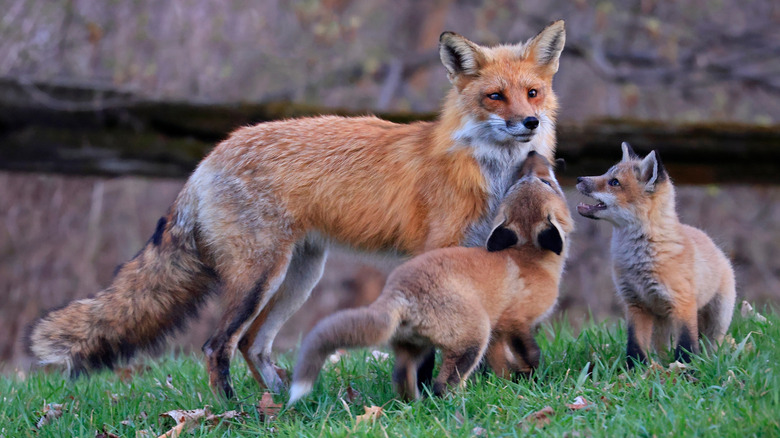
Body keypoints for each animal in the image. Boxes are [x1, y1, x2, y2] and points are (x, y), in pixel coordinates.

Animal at [287, 151, 573, 405]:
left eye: (523, 180)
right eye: (547, 183)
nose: (533, 154)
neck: (529, 258)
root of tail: (397, 291)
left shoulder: (498, 332)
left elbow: (501, 362)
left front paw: (511, 381)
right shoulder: (515, 322)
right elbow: (530, 354)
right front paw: (532, 379)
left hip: (415, 346)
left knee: (401, 378)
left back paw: (412, 405)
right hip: (473, 338)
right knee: (442, 385)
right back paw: (460, 404)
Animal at [576, 143, 736, 367]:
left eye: (614, 182)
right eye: (606, 173)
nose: (578, 179)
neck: (639, 260)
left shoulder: (683, 303)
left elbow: (686, 344)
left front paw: (686, 369)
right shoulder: (635, 304)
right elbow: (634, 344)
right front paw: (635, 369)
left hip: (718, 317)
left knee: (712, 344)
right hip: (661, 321)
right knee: (662, 349)